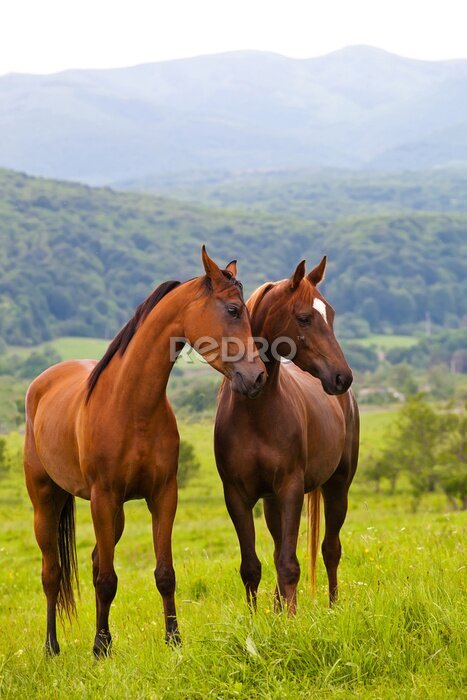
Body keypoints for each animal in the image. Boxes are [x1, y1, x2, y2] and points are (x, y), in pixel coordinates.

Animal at [24, 247, 266, 657]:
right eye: (234, 310)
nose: (259, 377)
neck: (131, 405)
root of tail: (42, 383)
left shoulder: (163, 495)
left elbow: (163, 573)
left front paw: (173, 640)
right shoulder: (103, 497)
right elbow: (107, 580)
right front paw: (100, 649)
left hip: (115, 513)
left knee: (94, 561)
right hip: (48, 502)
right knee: (52, 574)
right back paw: (51, 647)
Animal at [214, 257, 359, 614]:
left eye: (331, 314)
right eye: (304, 317)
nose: (342, 377)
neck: (256, 413)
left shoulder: (291, 489)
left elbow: (289, 564)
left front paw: (292, 622)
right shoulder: (237, 496)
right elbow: (252, 567)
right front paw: (257, 620)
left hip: (338, 486)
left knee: (330, 548)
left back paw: (333, 608)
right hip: (271, 502)